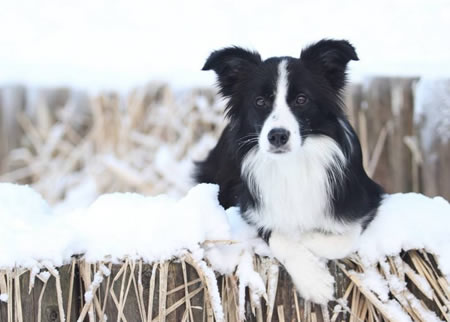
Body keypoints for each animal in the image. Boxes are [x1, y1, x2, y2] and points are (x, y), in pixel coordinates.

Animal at [193, 39, 384, 304]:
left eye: (302, 99)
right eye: (260, 101)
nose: (278, 136)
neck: (292, 164)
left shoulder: (365, 200)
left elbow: (342, 238)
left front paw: (307, 237)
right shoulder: (249, 206)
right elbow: (279, 236)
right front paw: (314, 281)